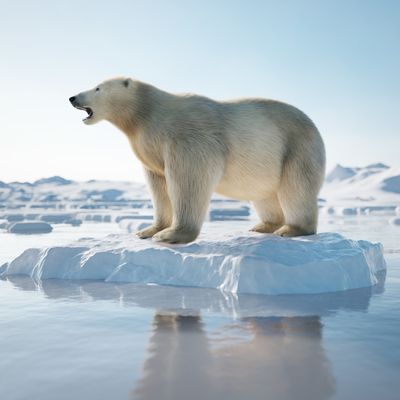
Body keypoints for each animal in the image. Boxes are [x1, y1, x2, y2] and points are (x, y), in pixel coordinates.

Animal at [69, 75, 324, 244]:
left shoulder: (188, 136)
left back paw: (291, 229)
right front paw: (148, 230)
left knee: (296, 188)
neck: (147, 114)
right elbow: (158, 186)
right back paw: (262, 227)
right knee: (265, 194)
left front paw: (171, 234)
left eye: (97, 87)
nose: (72, 97)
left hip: (297, 147)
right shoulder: (150, 148)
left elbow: (188, 179)